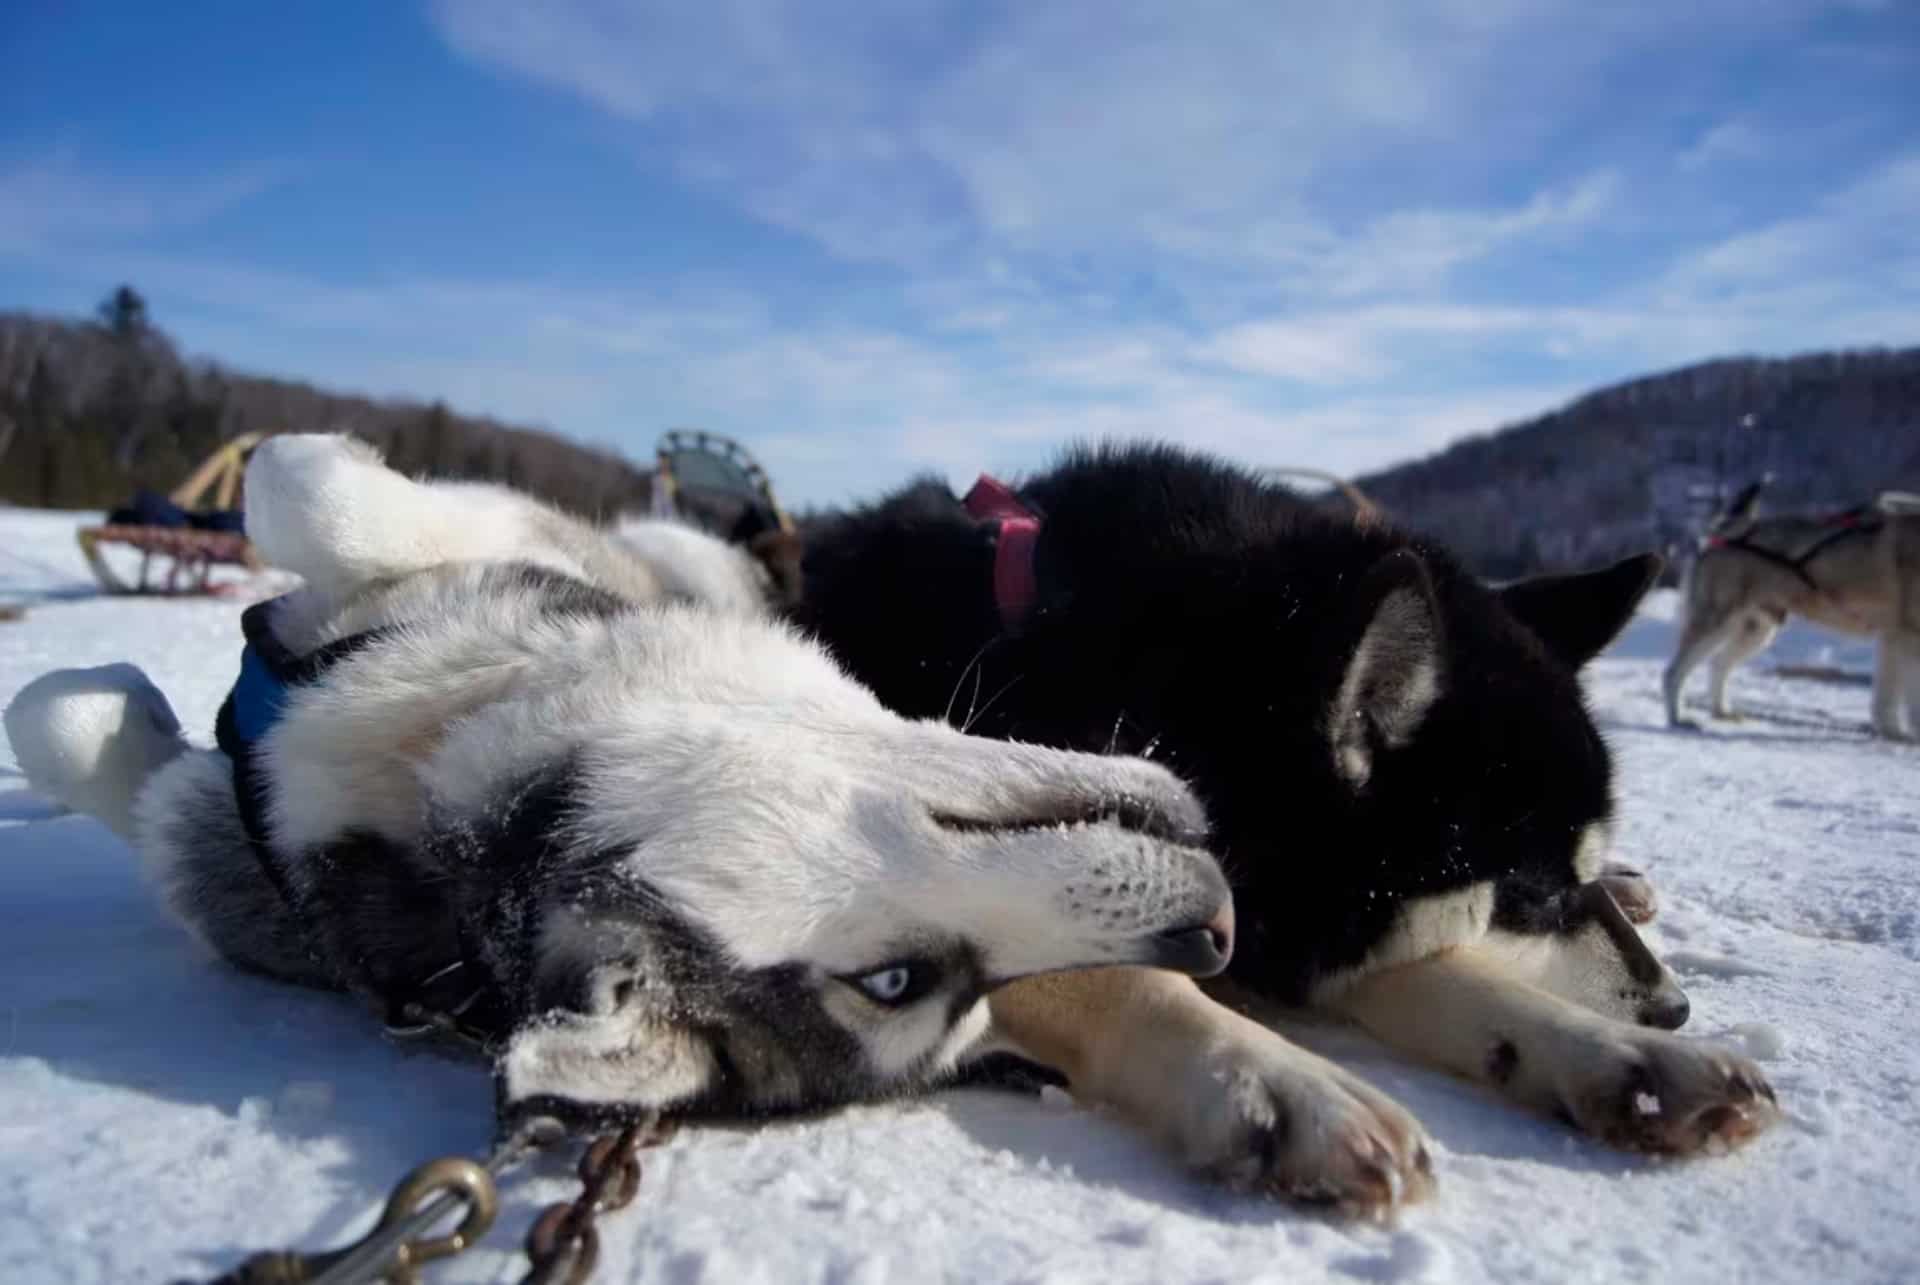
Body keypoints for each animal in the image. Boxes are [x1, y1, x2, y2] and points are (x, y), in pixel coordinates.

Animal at [7, 436, 1236, 1129]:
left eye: (923, 993)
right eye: (894, 981)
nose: (1210, 938)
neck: (428, 744)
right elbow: (296, 494)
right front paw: (119, 691)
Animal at [787, 443, 1774, 1213]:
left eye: (1568, 876)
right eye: (1532, 893)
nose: (1673, 1006)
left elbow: (1452, 976)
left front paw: (1633, 1061)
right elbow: (1120, 974)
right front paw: (1275, 1079)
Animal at [1666, 484, 1920, 741]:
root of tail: (1728, 532)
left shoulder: (1894, 640)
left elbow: (1887, 697)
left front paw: (1892, 732)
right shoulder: (1906, 639)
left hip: (1757, 633)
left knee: (1718, 663)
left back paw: (1721, 711)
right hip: (1717, 624)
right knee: (1674, 672)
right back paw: (1677, 718)